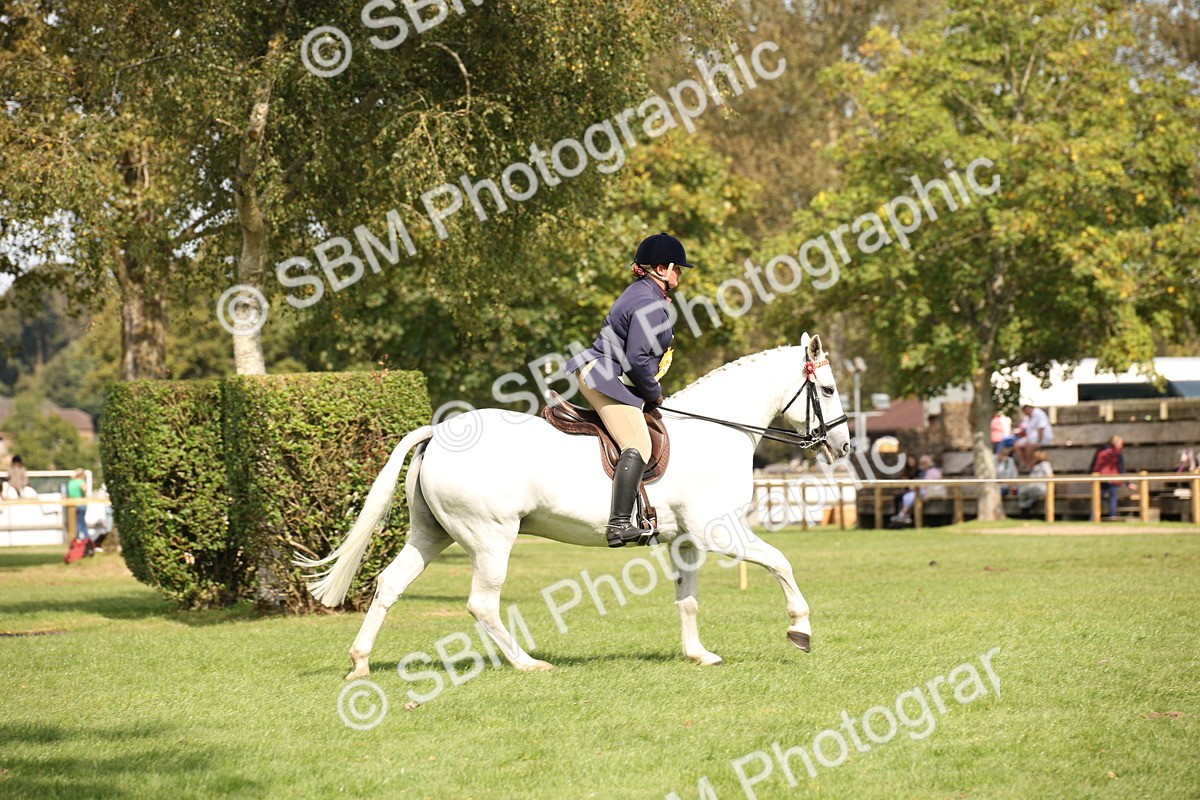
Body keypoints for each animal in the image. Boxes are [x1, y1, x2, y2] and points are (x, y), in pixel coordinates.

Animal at [297, 333, 852, 679]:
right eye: (826, 388)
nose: (843, 446)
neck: (717, 432)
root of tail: (439, 431)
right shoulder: (720, 531)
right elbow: (781, 562)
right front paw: (800, 630)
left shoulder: (687, 541)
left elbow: (688, 598)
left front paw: (698, 654)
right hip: (491, 537)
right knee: (482, 603)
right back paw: (526, 664)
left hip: (432, 533)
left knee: (390, 584)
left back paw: (360, 662)